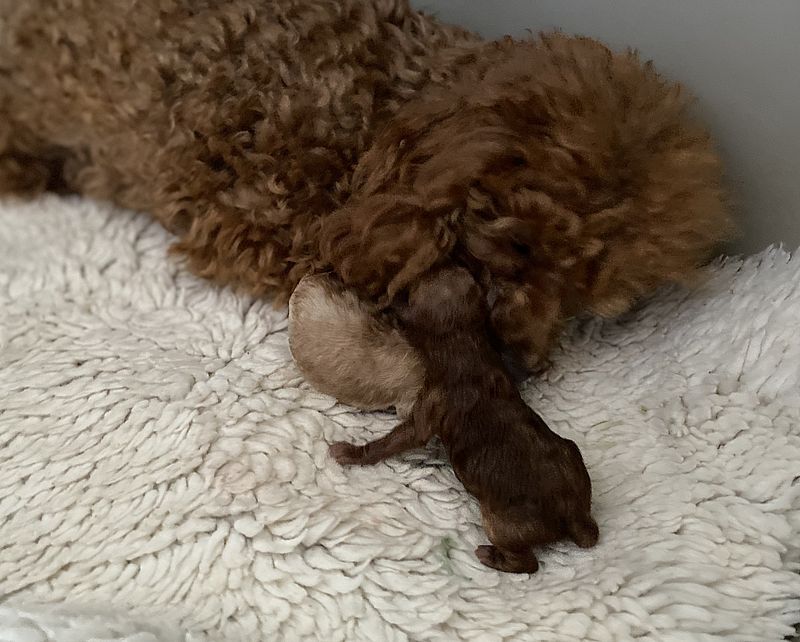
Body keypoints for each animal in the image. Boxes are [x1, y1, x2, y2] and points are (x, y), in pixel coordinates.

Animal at [329, 266, 599, 573]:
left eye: (413, 287)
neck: (464, 342)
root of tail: (574, 515)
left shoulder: (432, 401)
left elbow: (401, 438)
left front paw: (350, 453)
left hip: (502, 523)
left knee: (527, 563)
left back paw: (491, 556)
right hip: (572, 453)